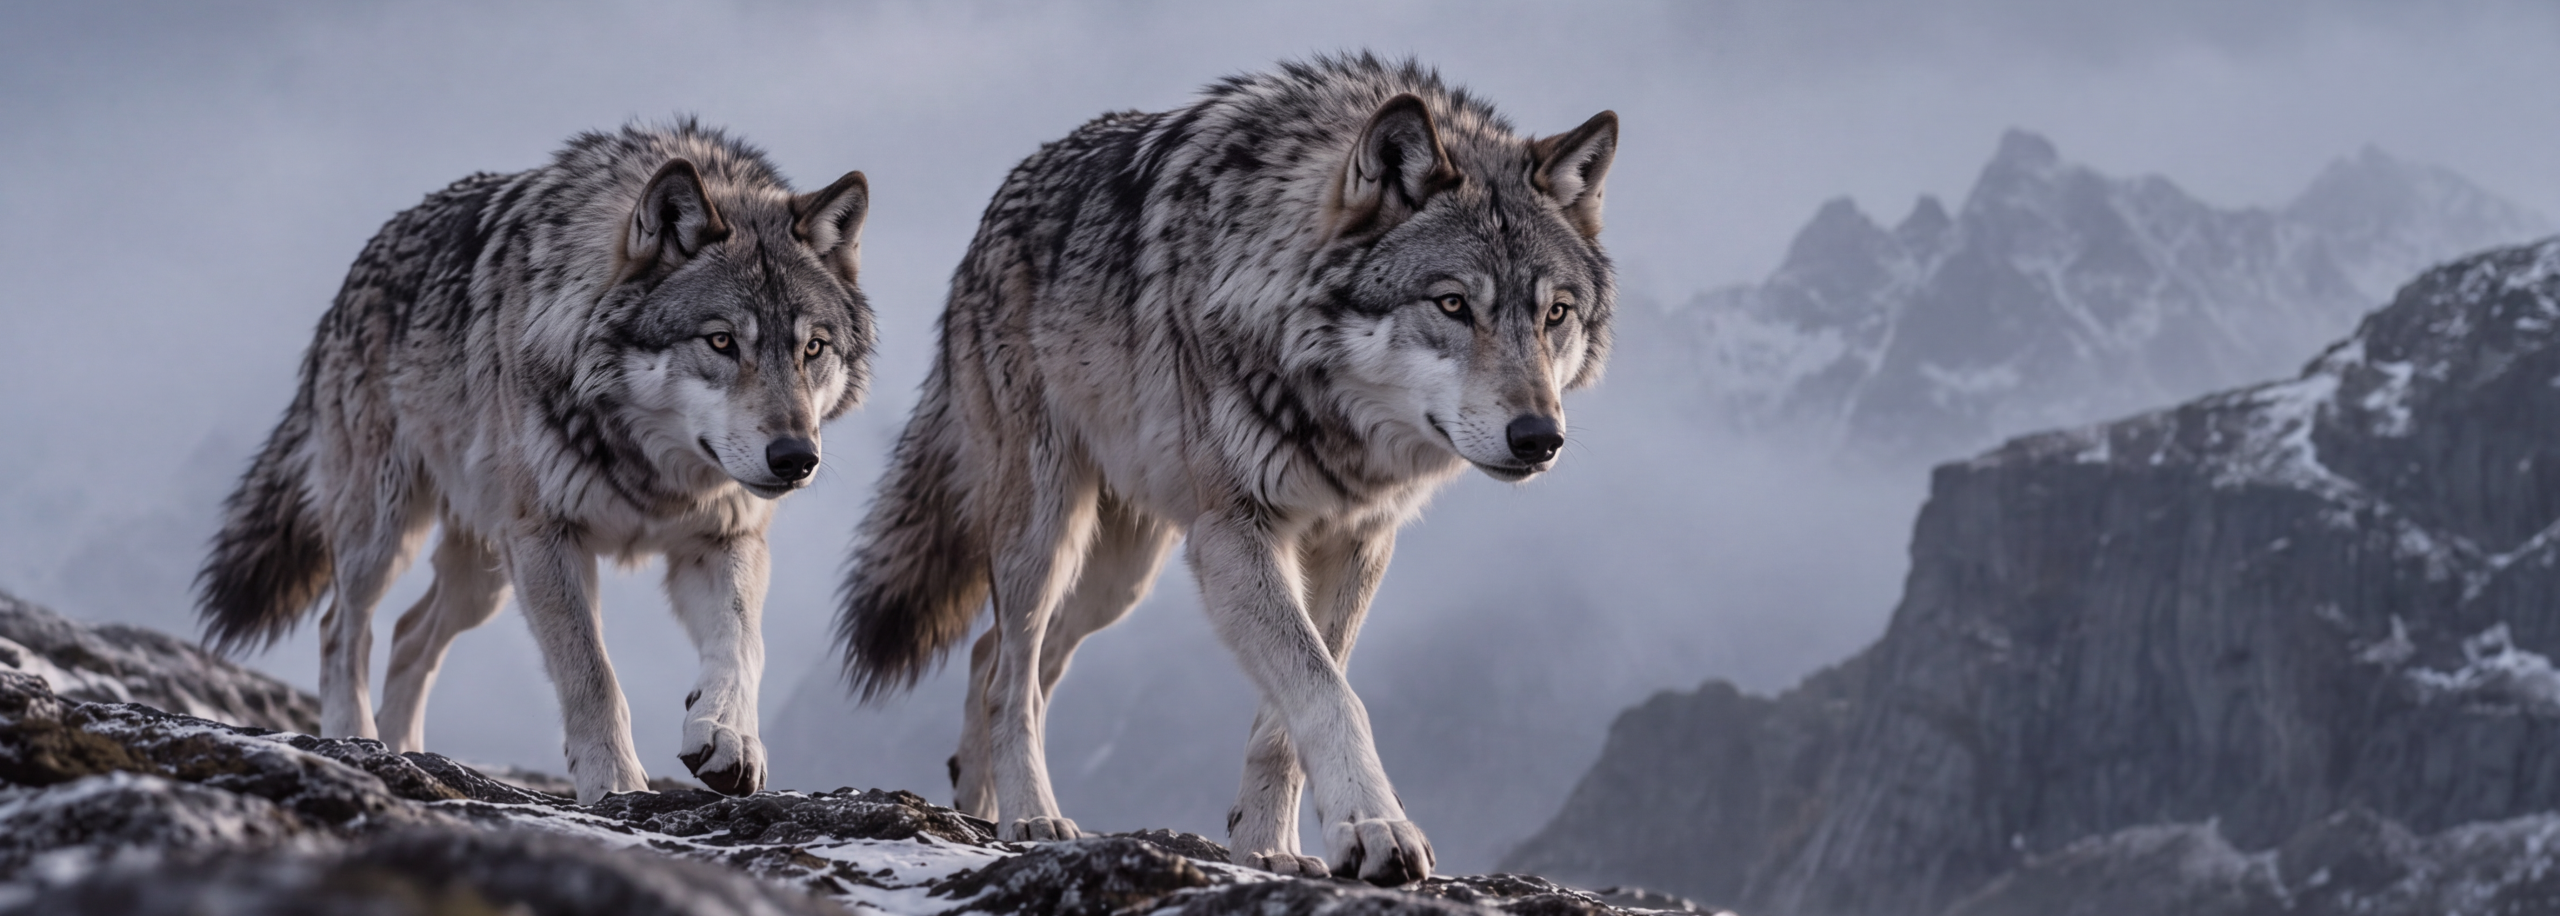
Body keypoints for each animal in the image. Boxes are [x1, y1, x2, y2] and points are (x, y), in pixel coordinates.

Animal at [197, 122, 875, 803]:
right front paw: (615, 783)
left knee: (410, 633)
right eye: (721, 341)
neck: (650, 466)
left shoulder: (723, 539)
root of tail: (350, 280)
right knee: (342, 625)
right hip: (387, 534)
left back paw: (407, 750)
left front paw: (728, 737)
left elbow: (742, 644)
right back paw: (355, 739)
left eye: (812, 348)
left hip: (486, 575)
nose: (796, 458)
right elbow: (592, 674)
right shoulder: (547, 538)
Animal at [835, 55, 1617, 884]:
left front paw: (1269, 846)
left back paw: (978, 807)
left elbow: (1294, 707)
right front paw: (1375, 826)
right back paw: (1030, 813)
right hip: (1045, 533)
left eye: (1556, 313)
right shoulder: (1234, 533)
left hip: (1119, 576)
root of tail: (990, 215)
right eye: (1452, 304)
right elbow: (1329, 692)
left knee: (993, 658)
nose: (1539, 437)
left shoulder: (1357, 542)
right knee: (1011, 674)